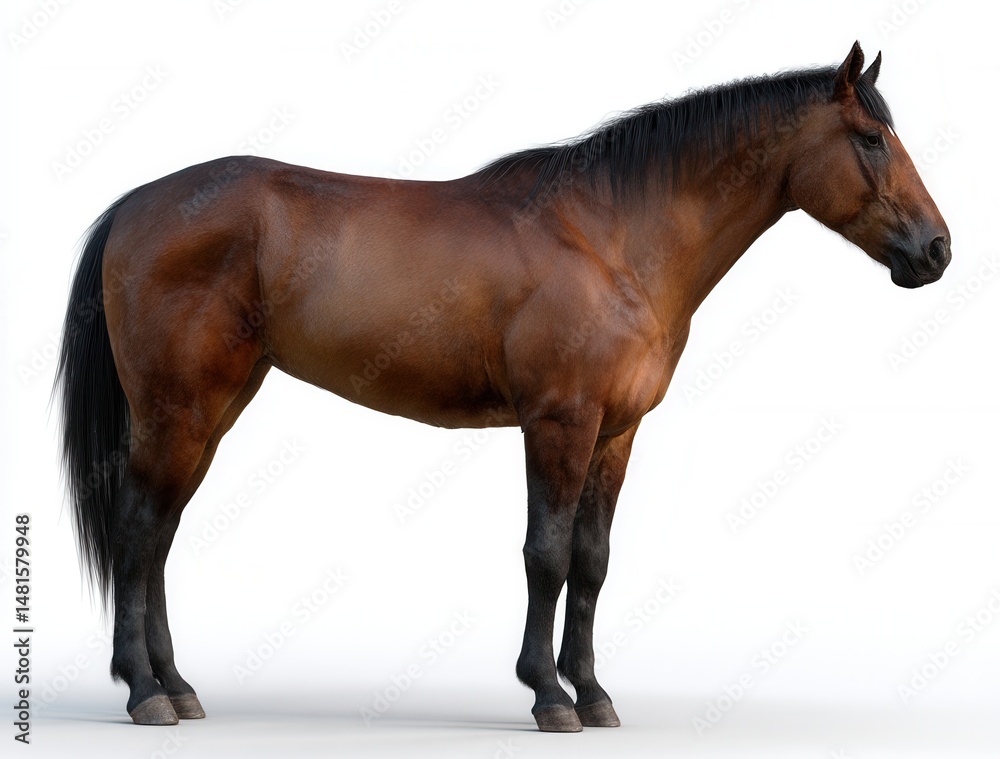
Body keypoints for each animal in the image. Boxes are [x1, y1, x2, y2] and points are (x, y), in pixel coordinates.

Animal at [55, 42, 950, 732]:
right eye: (871, 138)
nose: (936, 249)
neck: (614, 237)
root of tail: (138, 204)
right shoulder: (559, 422)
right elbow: (545, 555)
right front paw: (548, 695)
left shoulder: (615, 432)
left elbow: (592, 560)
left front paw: (593, 693)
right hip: (178, 410)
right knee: (139, 529)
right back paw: (144, 693)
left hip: (210, 413)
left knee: (161, 534)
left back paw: (177, 686)